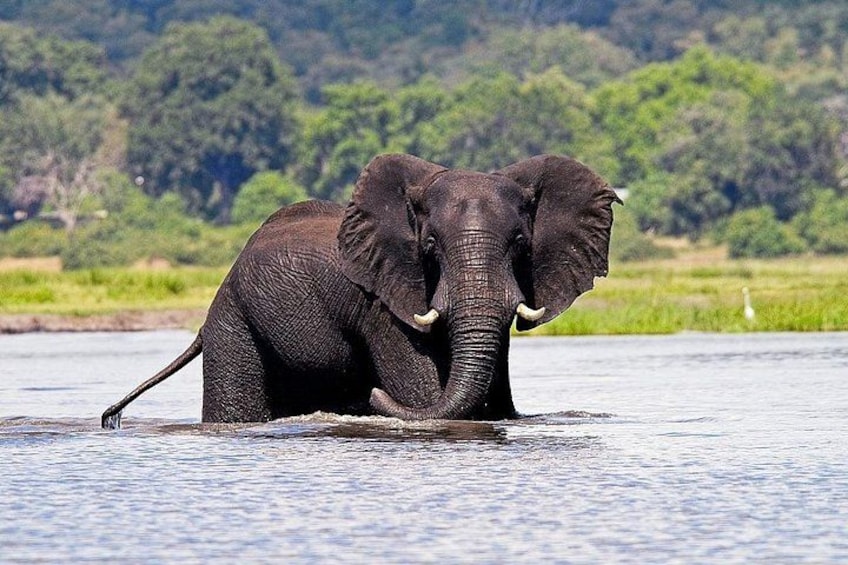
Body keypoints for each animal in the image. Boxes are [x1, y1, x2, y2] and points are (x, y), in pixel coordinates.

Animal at [101, 153, 619, 428]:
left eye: (520, 245)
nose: (369, 395)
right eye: (429, 246)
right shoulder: (383, 307)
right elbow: (423, 391)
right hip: (234, 320)